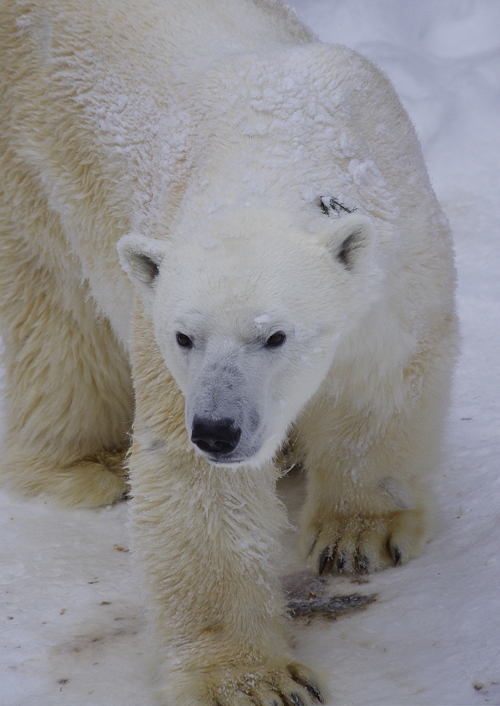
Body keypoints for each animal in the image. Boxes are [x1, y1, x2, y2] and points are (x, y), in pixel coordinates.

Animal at [0, 0, 458, 700]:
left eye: (274, 335)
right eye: (185, 335)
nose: (218, 431)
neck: (276, 137)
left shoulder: (400, 259)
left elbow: (381, 385)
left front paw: (360, 535)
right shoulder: (166, 336)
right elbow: (199, 490)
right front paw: (250, 680)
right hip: (29, 166)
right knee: (55, 313)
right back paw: (88, 462)